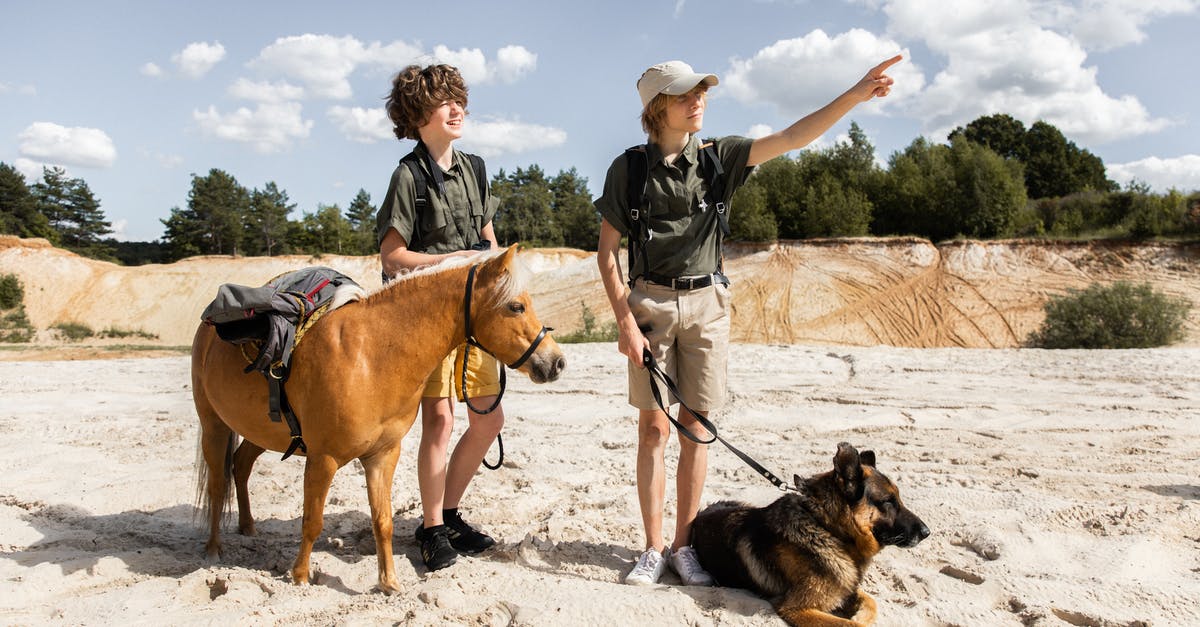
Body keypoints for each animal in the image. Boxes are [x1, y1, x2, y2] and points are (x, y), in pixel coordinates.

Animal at [192, 243, 566, 590]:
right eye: (516, 306)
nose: (556, 362)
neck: (371, 356)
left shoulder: (382, 455)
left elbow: (382, 520)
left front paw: (389, 582)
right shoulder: (322, 458)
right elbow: (312, 520)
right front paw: (299, 576)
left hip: (259, 431)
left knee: (240, 466)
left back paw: (248, 527)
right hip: (214, 425)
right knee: (217, 484)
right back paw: (213, 549)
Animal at [691, 442, 931, 619]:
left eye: (898, 498)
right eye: (888, 501)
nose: (927, 532)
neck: (827, 529)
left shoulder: (847, 587)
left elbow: (870, 604)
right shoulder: (796, 608)